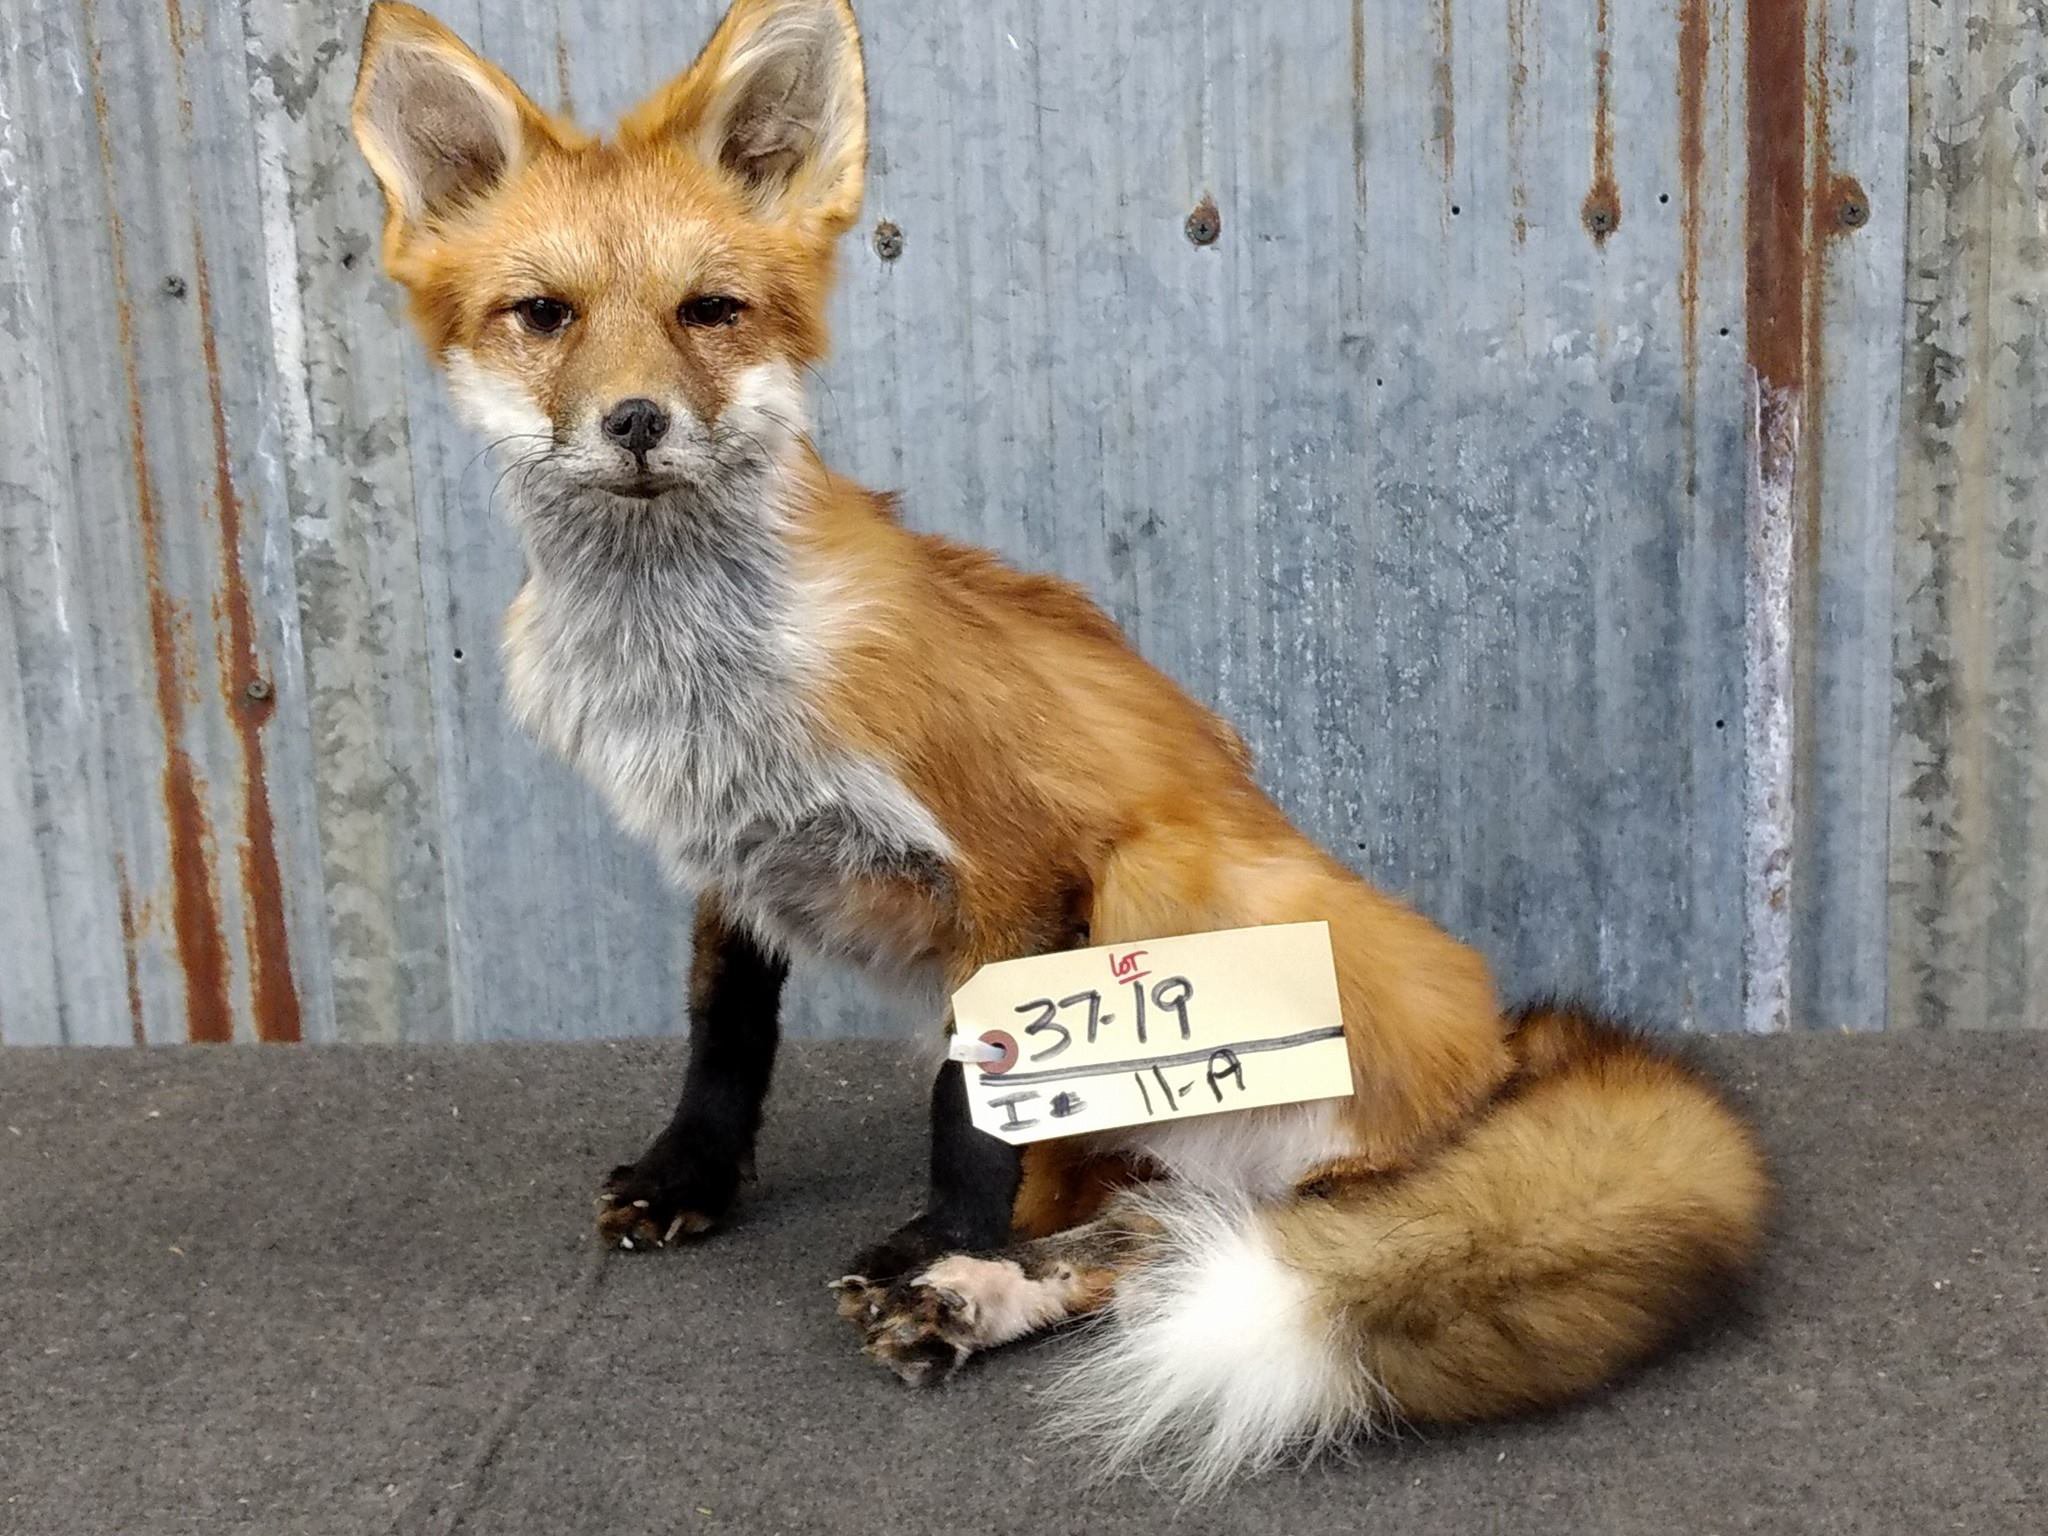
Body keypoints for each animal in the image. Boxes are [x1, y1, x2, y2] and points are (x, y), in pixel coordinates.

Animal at [350, 0, 1769, 1489]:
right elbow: (722, 1031)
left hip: (1166, 896)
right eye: (544, 316)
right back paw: (982, 1301)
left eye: (709, 312)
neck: (696, 668)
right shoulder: (727, 849)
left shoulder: (1014, 861)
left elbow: (967, 1107)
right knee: (1162, 1235)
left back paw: (969, 1280)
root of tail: (1506, 1046)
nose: (635, 423)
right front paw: (692, 1174)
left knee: (1213, 1234)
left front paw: (938, 1236)